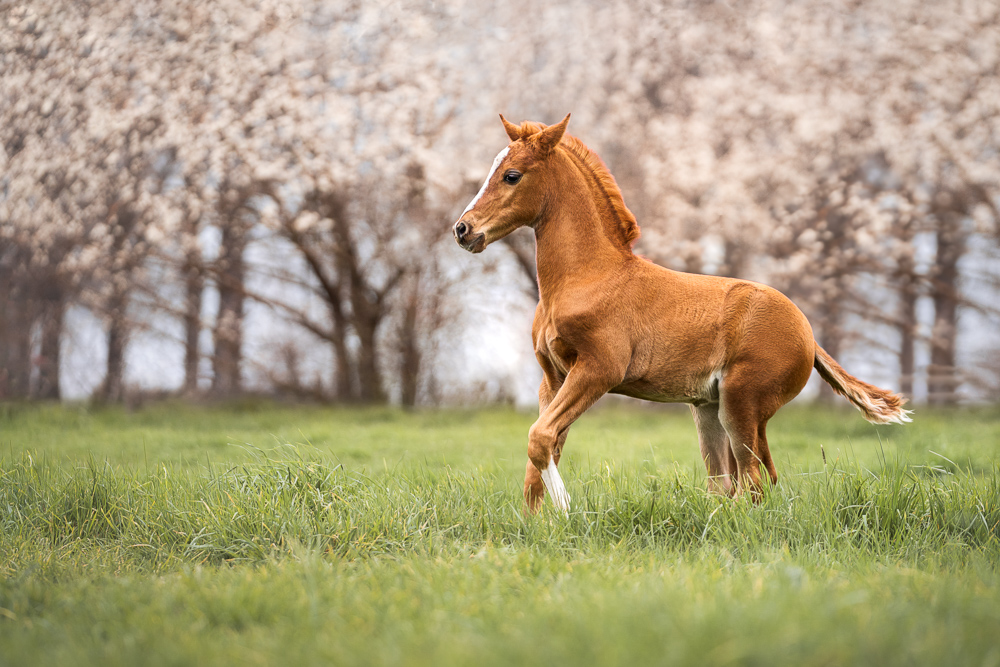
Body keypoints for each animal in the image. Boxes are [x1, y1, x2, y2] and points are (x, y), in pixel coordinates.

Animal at [453, 114, 911, 514]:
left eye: (512, 175)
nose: (462, 229)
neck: (587, 276)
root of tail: (809, 335)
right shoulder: (554, 377)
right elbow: (545, 447)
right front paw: (535, 525)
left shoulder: (599, 370)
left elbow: (540, 436)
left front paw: (566, 512)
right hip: (708, 408)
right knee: (729, 483)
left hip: (741, 405)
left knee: (755, 480)